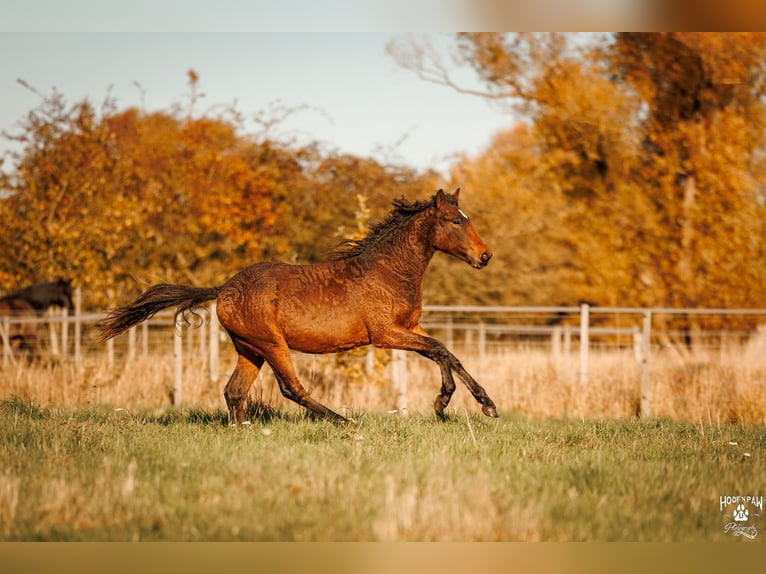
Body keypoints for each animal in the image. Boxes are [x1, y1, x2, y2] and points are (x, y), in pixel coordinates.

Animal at [99, 189, 499, 425]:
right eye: (454, 220)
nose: (485, 256)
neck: (388, 270)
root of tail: (223, 289)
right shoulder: (386, 334)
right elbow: (440, 350)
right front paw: (443, 403)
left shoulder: (410, 328)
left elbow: (448, 354)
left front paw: (482, 404)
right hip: (271, 344)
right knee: (291, 388)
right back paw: (344, 422)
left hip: (249, 348)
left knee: (234, 391)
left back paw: (243, 431)